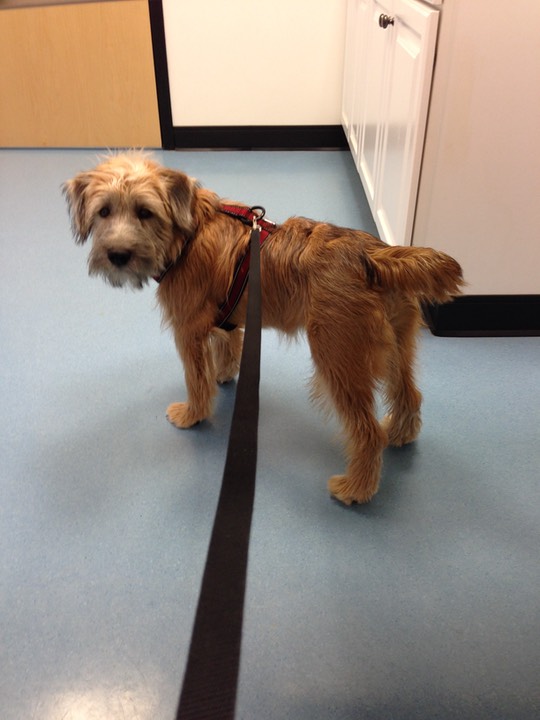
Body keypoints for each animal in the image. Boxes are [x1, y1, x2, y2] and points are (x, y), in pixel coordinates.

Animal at [64, 154, 464, 506]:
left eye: (144, 212)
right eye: (104, 211)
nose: (118, 255)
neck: (188, 233)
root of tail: (374, 255)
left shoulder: (187, 331)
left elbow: (196, 379)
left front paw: (193, 414)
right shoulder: (227, 320)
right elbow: (226, 348)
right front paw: (225, 375)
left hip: (338, 357)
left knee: (367, 432)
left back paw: (357, 488)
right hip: (397, 345)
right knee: (409, 394)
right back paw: (400, 433)